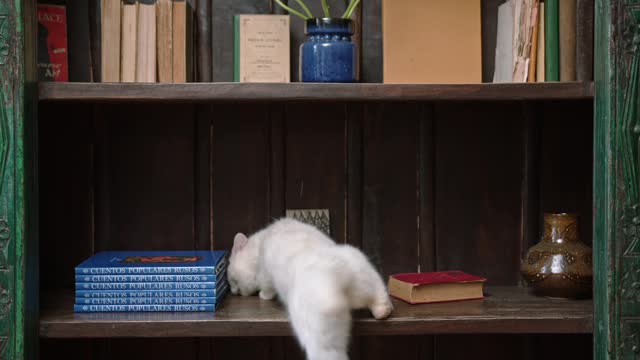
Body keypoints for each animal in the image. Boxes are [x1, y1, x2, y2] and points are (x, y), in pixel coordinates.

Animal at [225, 218, 396, 358]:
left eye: (232, 281)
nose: (233, 291)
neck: (260, 244)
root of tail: (336, 270)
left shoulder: (265, 276)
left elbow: (267, 288)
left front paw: (263, 295)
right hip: (364, 272)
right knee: (380, 297)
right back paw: (382, 311)